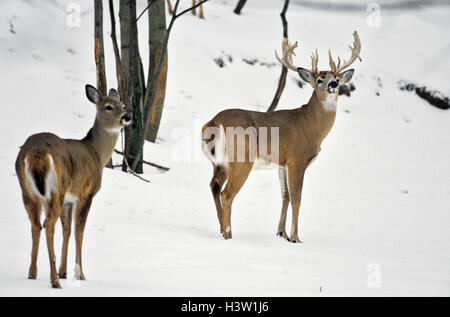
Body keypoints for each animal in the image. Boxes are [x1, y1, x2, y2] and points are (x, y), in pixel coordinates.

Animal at [14, 85, 131, 288]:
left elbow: (67, 230)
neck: (96, 154)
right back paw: (54, 280)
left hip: (28, 191)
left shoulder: (69, 199)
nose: (127, 116)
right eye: (108, 106)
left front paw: (63, 271)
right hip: (56, 189)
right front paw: (79, 274)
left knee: (36, 224)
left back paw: (33, 273)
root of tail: (37, 153)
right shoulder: (86, 193)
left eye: (122, 105)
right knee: (48, 224)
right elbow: (79, 231)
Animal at [203, 32, 362, 241]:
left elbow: (285, 195)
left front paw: (281, 233)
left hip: (219, 162)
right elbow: (296, 198)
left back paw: (222, 230)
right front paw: (295, 237)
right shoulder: (297, 159)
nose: (334, 84)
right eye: (320, 79)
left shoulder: (282, 162)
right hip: (242, 159)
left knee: (214, 185)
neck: (311, 126)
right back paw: (229, 234)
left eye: (336, 77)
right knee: (226, 194)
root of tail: (214, 122)